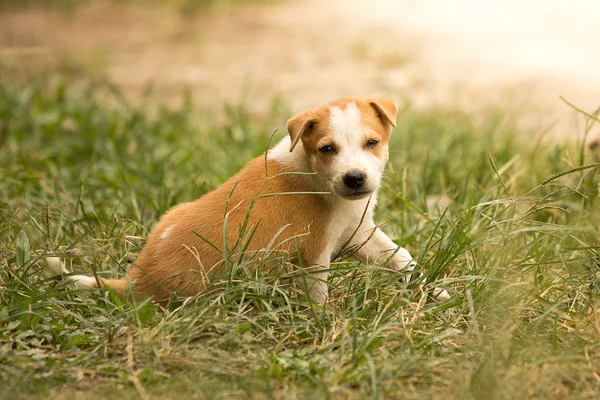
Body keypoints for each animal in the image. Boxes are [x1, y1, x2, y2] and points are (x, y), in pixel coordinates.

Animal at [49, 99, 428, 304]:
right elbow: (318, 296)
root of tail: (133, 284)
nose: (355, 178)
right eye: (327, 148)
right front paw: (324, 328)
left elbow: (401, 259)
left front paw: (430, 291)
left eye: (372, 142)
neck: (315, 174)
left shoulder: (358, 232)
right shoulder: (313, 254)